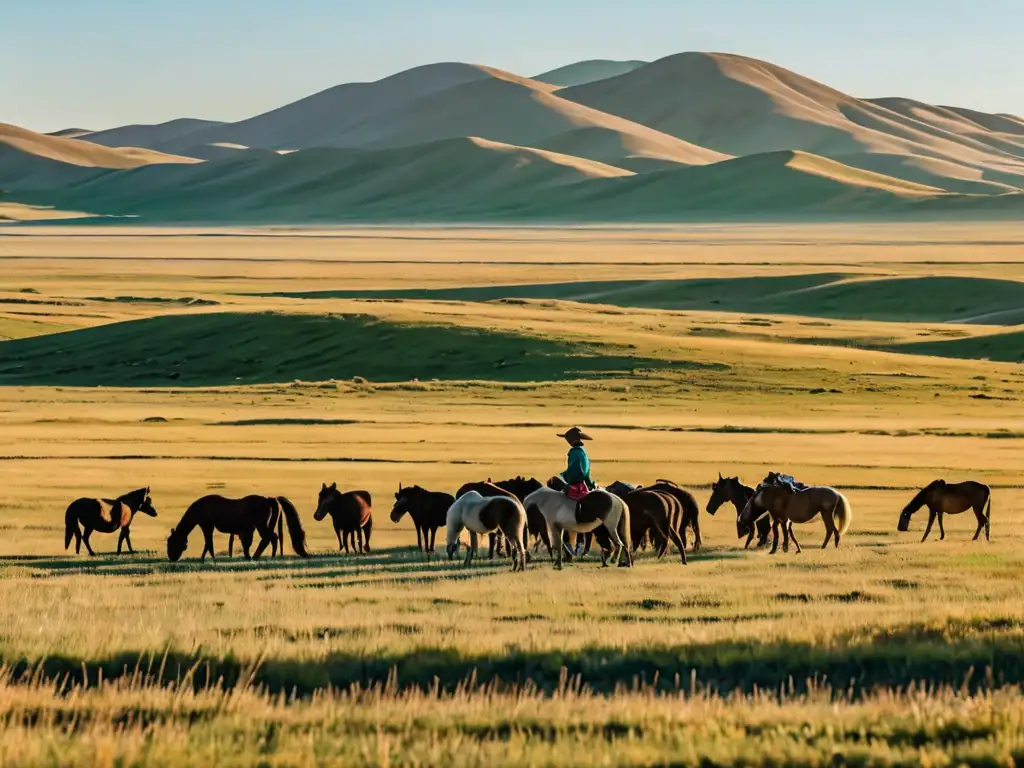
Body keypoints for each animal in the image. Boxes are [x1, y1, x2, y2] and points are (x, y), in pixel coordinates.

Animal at [163, 495, 305, 561]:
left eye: (172, 543)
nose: (172, 558)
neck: (200, 508)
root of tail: (268, 499)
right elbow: (209, 543)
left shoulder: (207, 525)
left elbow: (208, 543)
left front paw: (206, 559)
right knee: (270, 538)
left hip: (260, 524)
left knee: (271, 538)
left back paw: (267, 556)